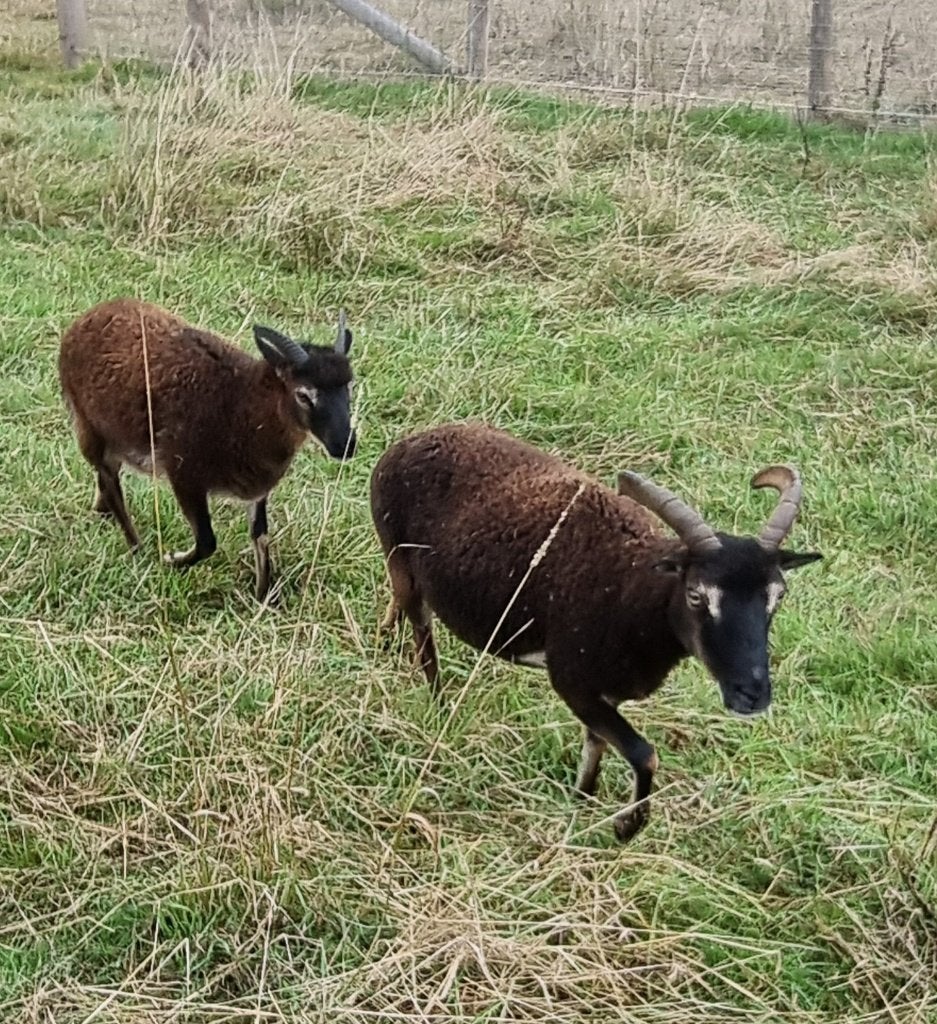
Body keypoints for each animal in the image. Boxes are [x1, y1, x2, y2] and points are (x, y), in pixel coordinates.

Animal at [59, 297, 356, 600]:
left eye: (349, 388)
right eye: (303, 395)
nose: (345, 445)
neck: (240, 406)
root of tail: (88, 317)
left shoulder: (258, 489)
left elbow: (261, 536)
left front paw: (262, 596)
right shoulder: (185, 476)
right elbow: (206, 542)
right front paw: (171, 560)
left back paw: (103, 513)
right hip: (89, 427)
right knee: (110, 482)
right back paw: (136, 548)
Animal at [370, 422, 821, 841]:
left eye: (778, 594)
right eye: (695, 594)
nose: (752, 695)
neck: (632, 590)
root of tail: (410, 442)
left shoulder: (606, 691)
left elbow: (597, 745)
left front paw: (581, 801)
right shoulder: (574, 682)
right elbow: (644, 753)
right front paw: (626, 827)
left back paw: (385, 637)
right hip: (402, 560)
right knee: (423, 633)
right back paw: (438, 703)